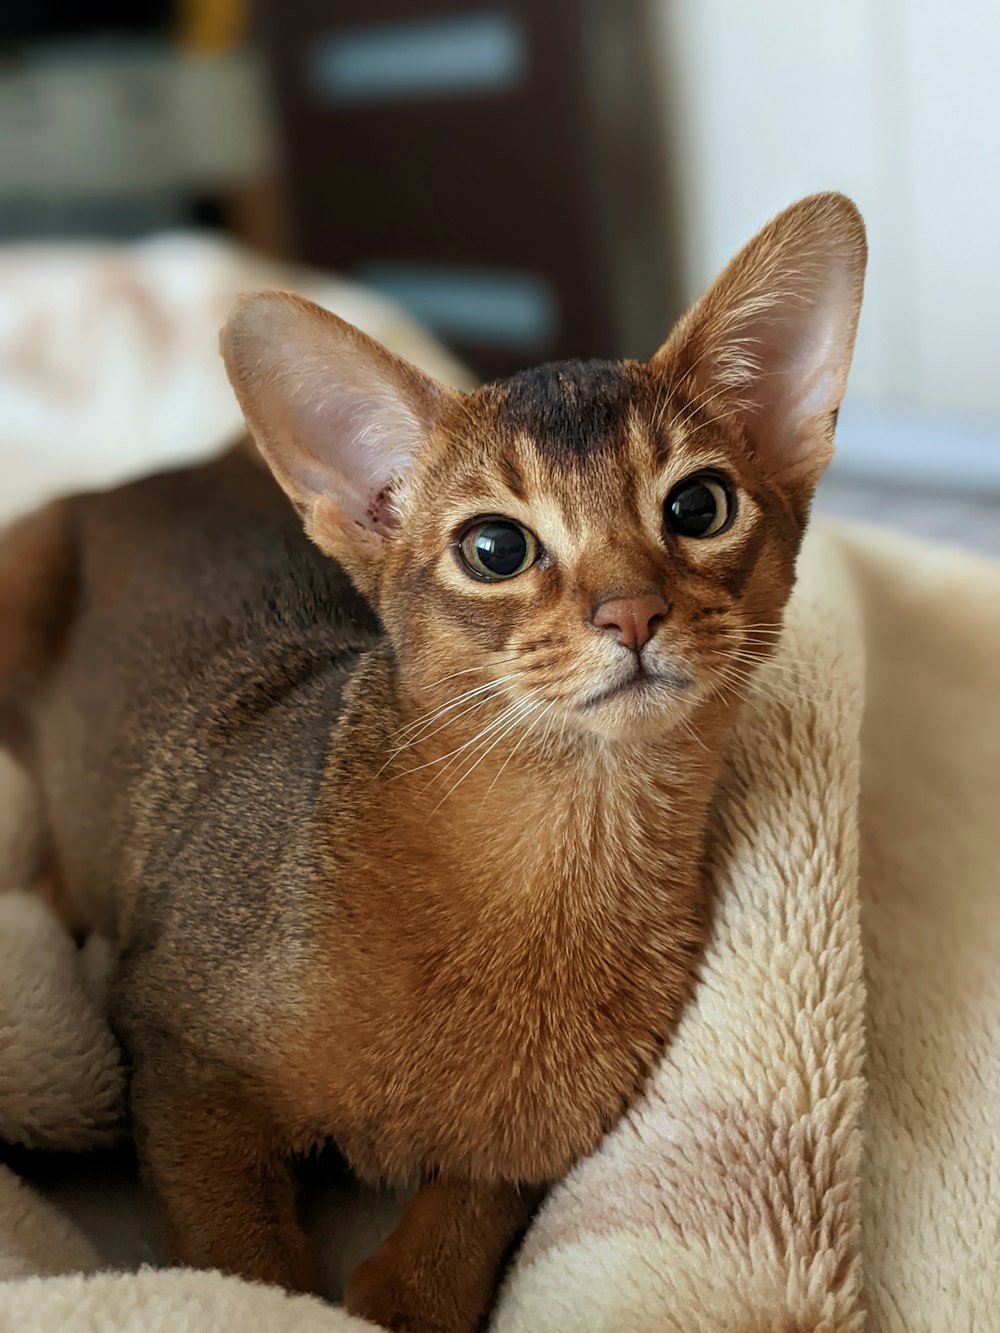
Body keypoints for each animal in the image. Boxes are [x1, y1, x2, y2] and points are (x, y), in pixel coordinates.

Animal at [0, 194, 864, 1333]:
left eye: (698, 506)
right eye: (495, 547)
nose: (632, 612)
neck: (543, 864)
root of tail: (162, 471)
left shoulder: (544, 1134)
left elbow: (466, 1218)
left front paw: (406, 1293)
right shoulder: (173, 1049)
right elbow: (239, 1263)